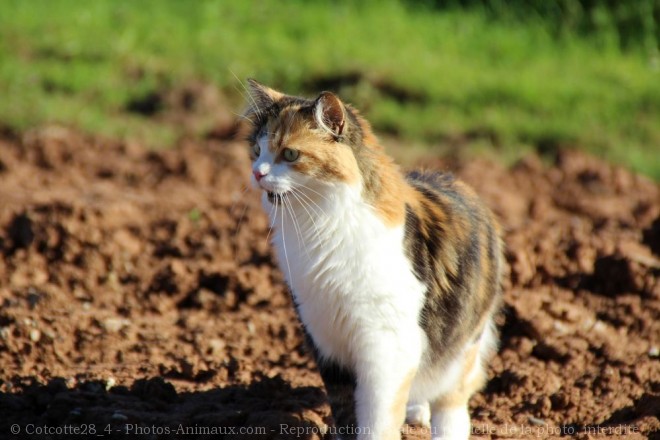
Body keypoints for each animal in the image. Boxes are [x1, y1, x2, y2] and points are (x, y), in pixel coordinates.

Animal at [240, 80, 502, 440]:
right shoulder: (326, 341)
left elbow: (378, 417)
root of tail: (453, 178)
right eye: (256, 151)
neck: (319, 226)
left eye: (290, 154)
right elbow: (345, 413)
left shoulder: (387, 346)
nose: (256, 173)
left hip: (461, 346)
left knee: (451, 402)